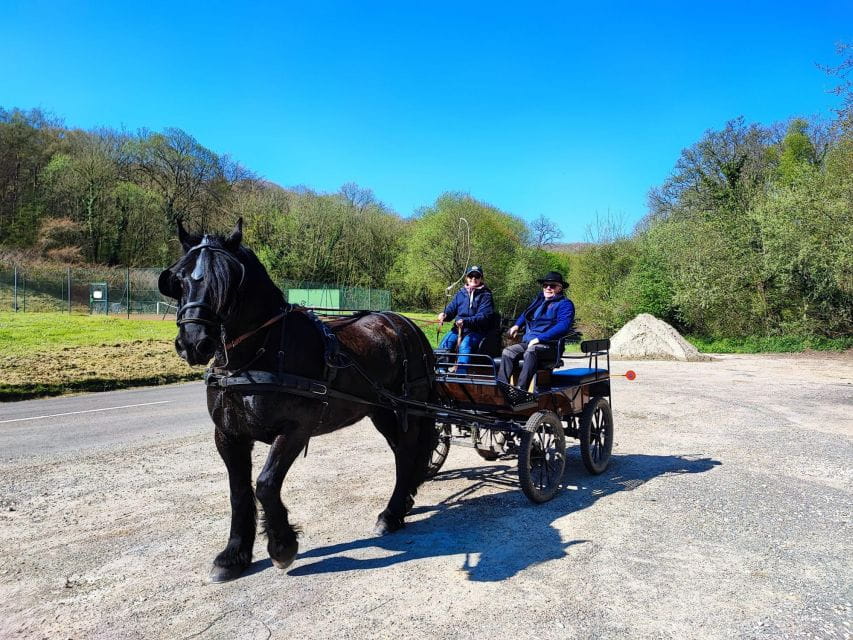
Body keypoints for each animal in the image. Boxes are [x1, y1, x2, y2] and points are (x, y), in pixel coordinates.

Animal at [158, 218, 438, 582]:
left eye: (229, 280)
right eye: (178, 279)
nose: (193, 343)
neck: (257, 354)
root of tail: (405, 324)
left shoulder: (295, 430)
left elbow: (264, 485)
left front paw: (282, 546)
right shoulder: (228, 435)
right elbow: (239, 491)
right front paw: (234, 555)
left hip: (406, 408)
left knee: (406, 454)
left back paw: (391, 514)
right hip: (381, 411)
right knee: (401, 453)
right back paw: (402, 504)